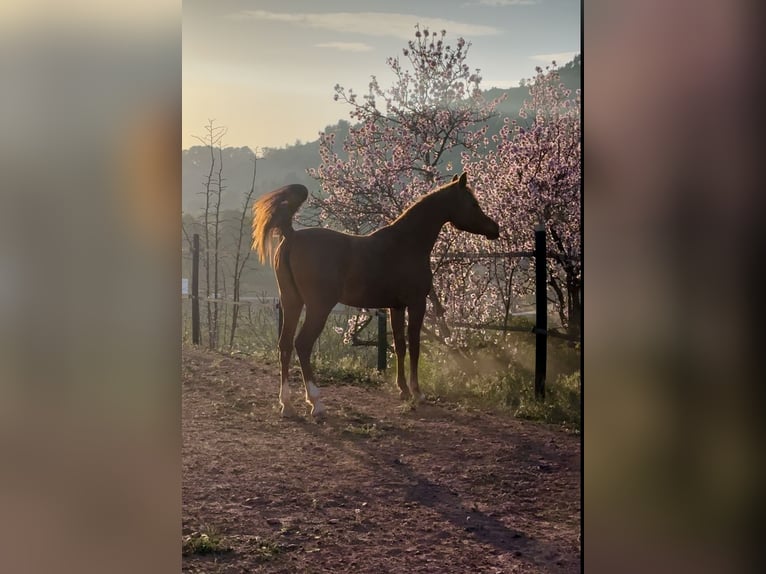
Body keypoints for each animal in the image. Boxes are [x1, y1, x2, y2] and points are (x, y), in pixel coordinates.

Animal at [252, 172, 500, 418]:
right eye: (473, 203)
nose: (495, 228)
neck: (406, 243)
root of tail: (292, 236)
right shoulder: (416, 304)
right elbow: (415, 345)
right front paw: (417, 393)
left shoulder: (396, 307)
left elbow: (400, 345)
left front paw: (403, 390)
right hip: (318, 307)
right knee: (302, 344)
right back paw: (316, 402)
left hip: (292, 302)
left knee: (285, 345)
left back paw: (287, 404)